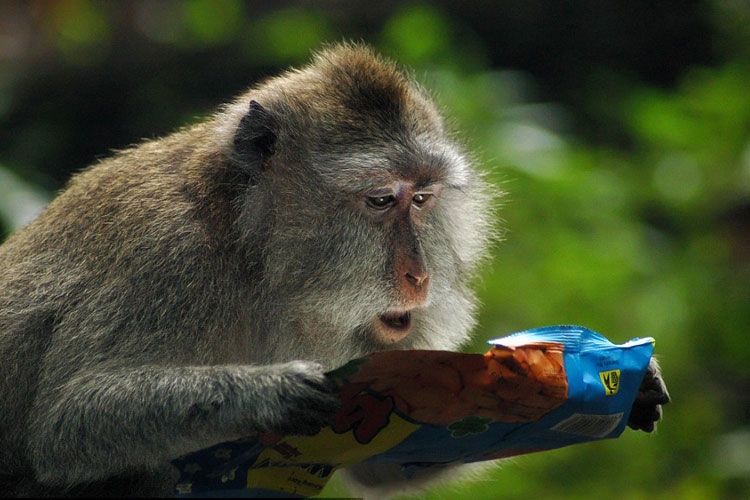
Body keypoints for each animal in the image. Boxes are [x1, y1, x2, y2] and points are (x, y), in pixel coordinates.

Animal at [0, 45, 668, 498]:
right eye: (381, 200)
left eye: (422, 199)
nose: (419, 277)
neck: (250, 256)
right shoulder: (164, 258)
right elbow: (66, 422)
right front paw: (272, 392)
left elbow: (381, 461)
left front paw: (633, 386)